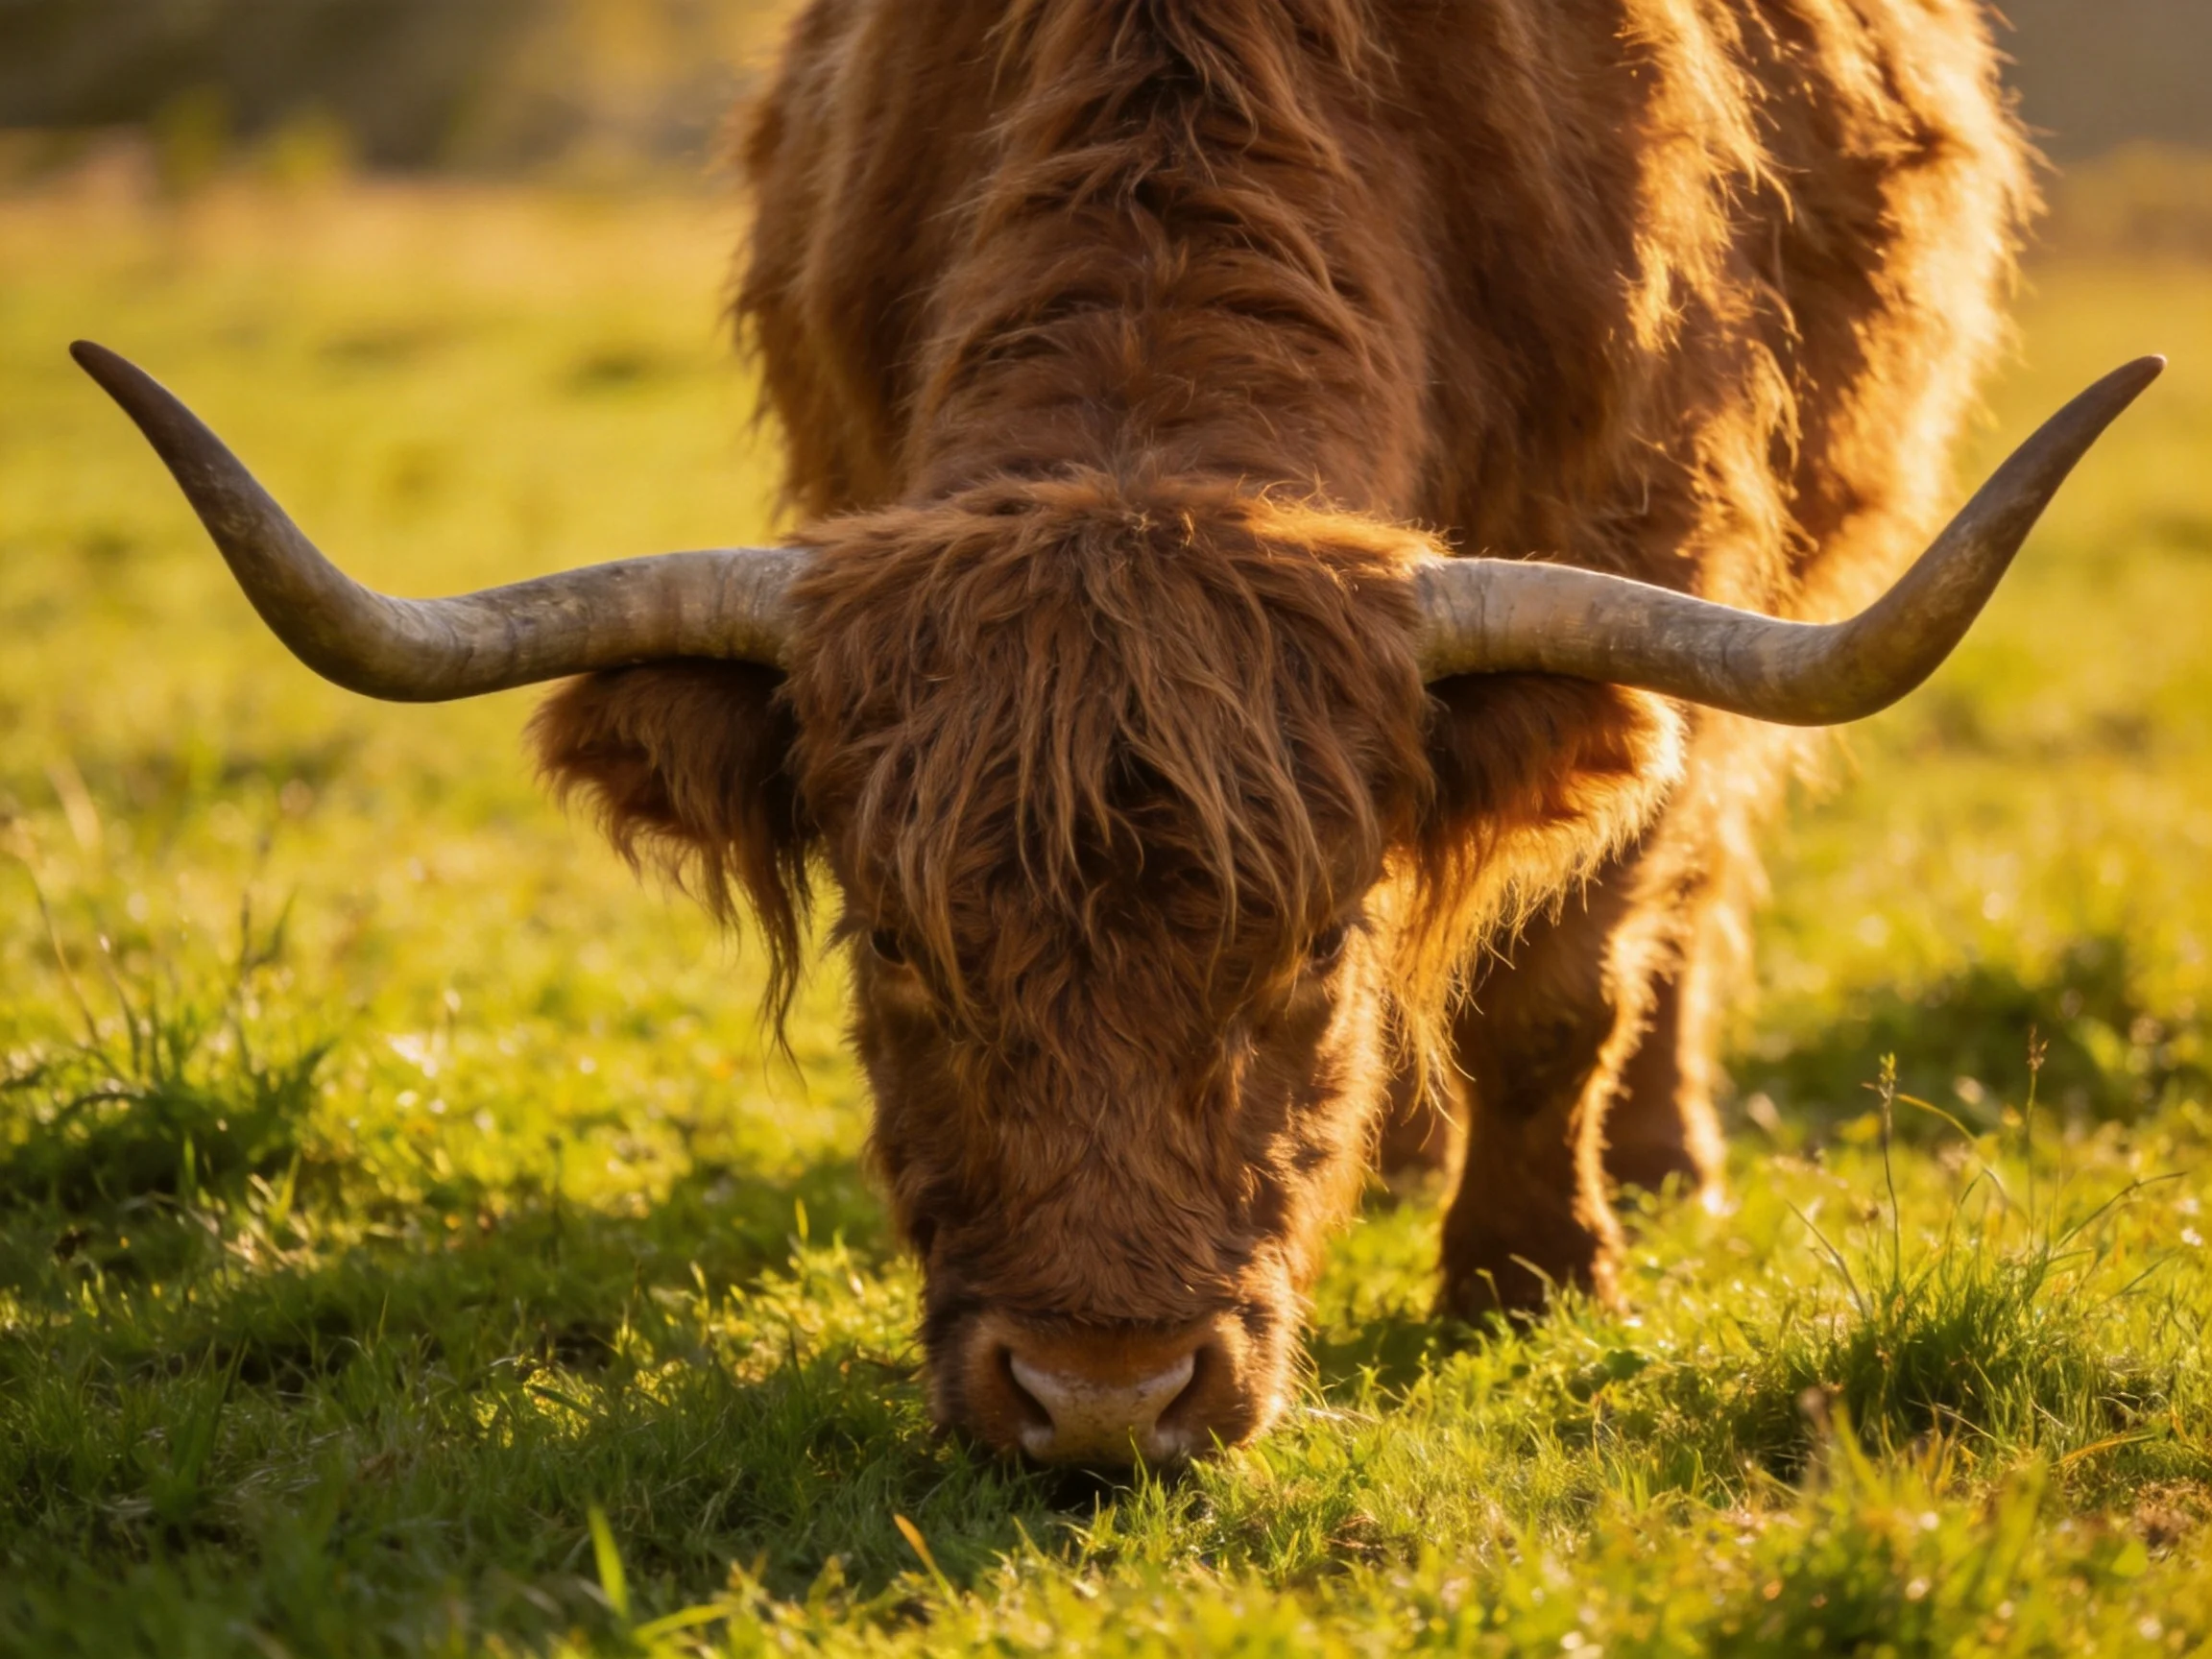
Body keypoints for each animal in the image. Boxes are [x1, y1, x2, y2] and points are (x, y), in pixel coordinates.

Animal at [74, 0, 2159, 1468]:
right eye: (894, 945)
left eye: (1310, 944)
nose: (1097, 1396)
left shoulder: (1660, 537)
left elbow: (1555, 969)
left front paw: (1526, 1275)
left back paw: (1650, 1157)